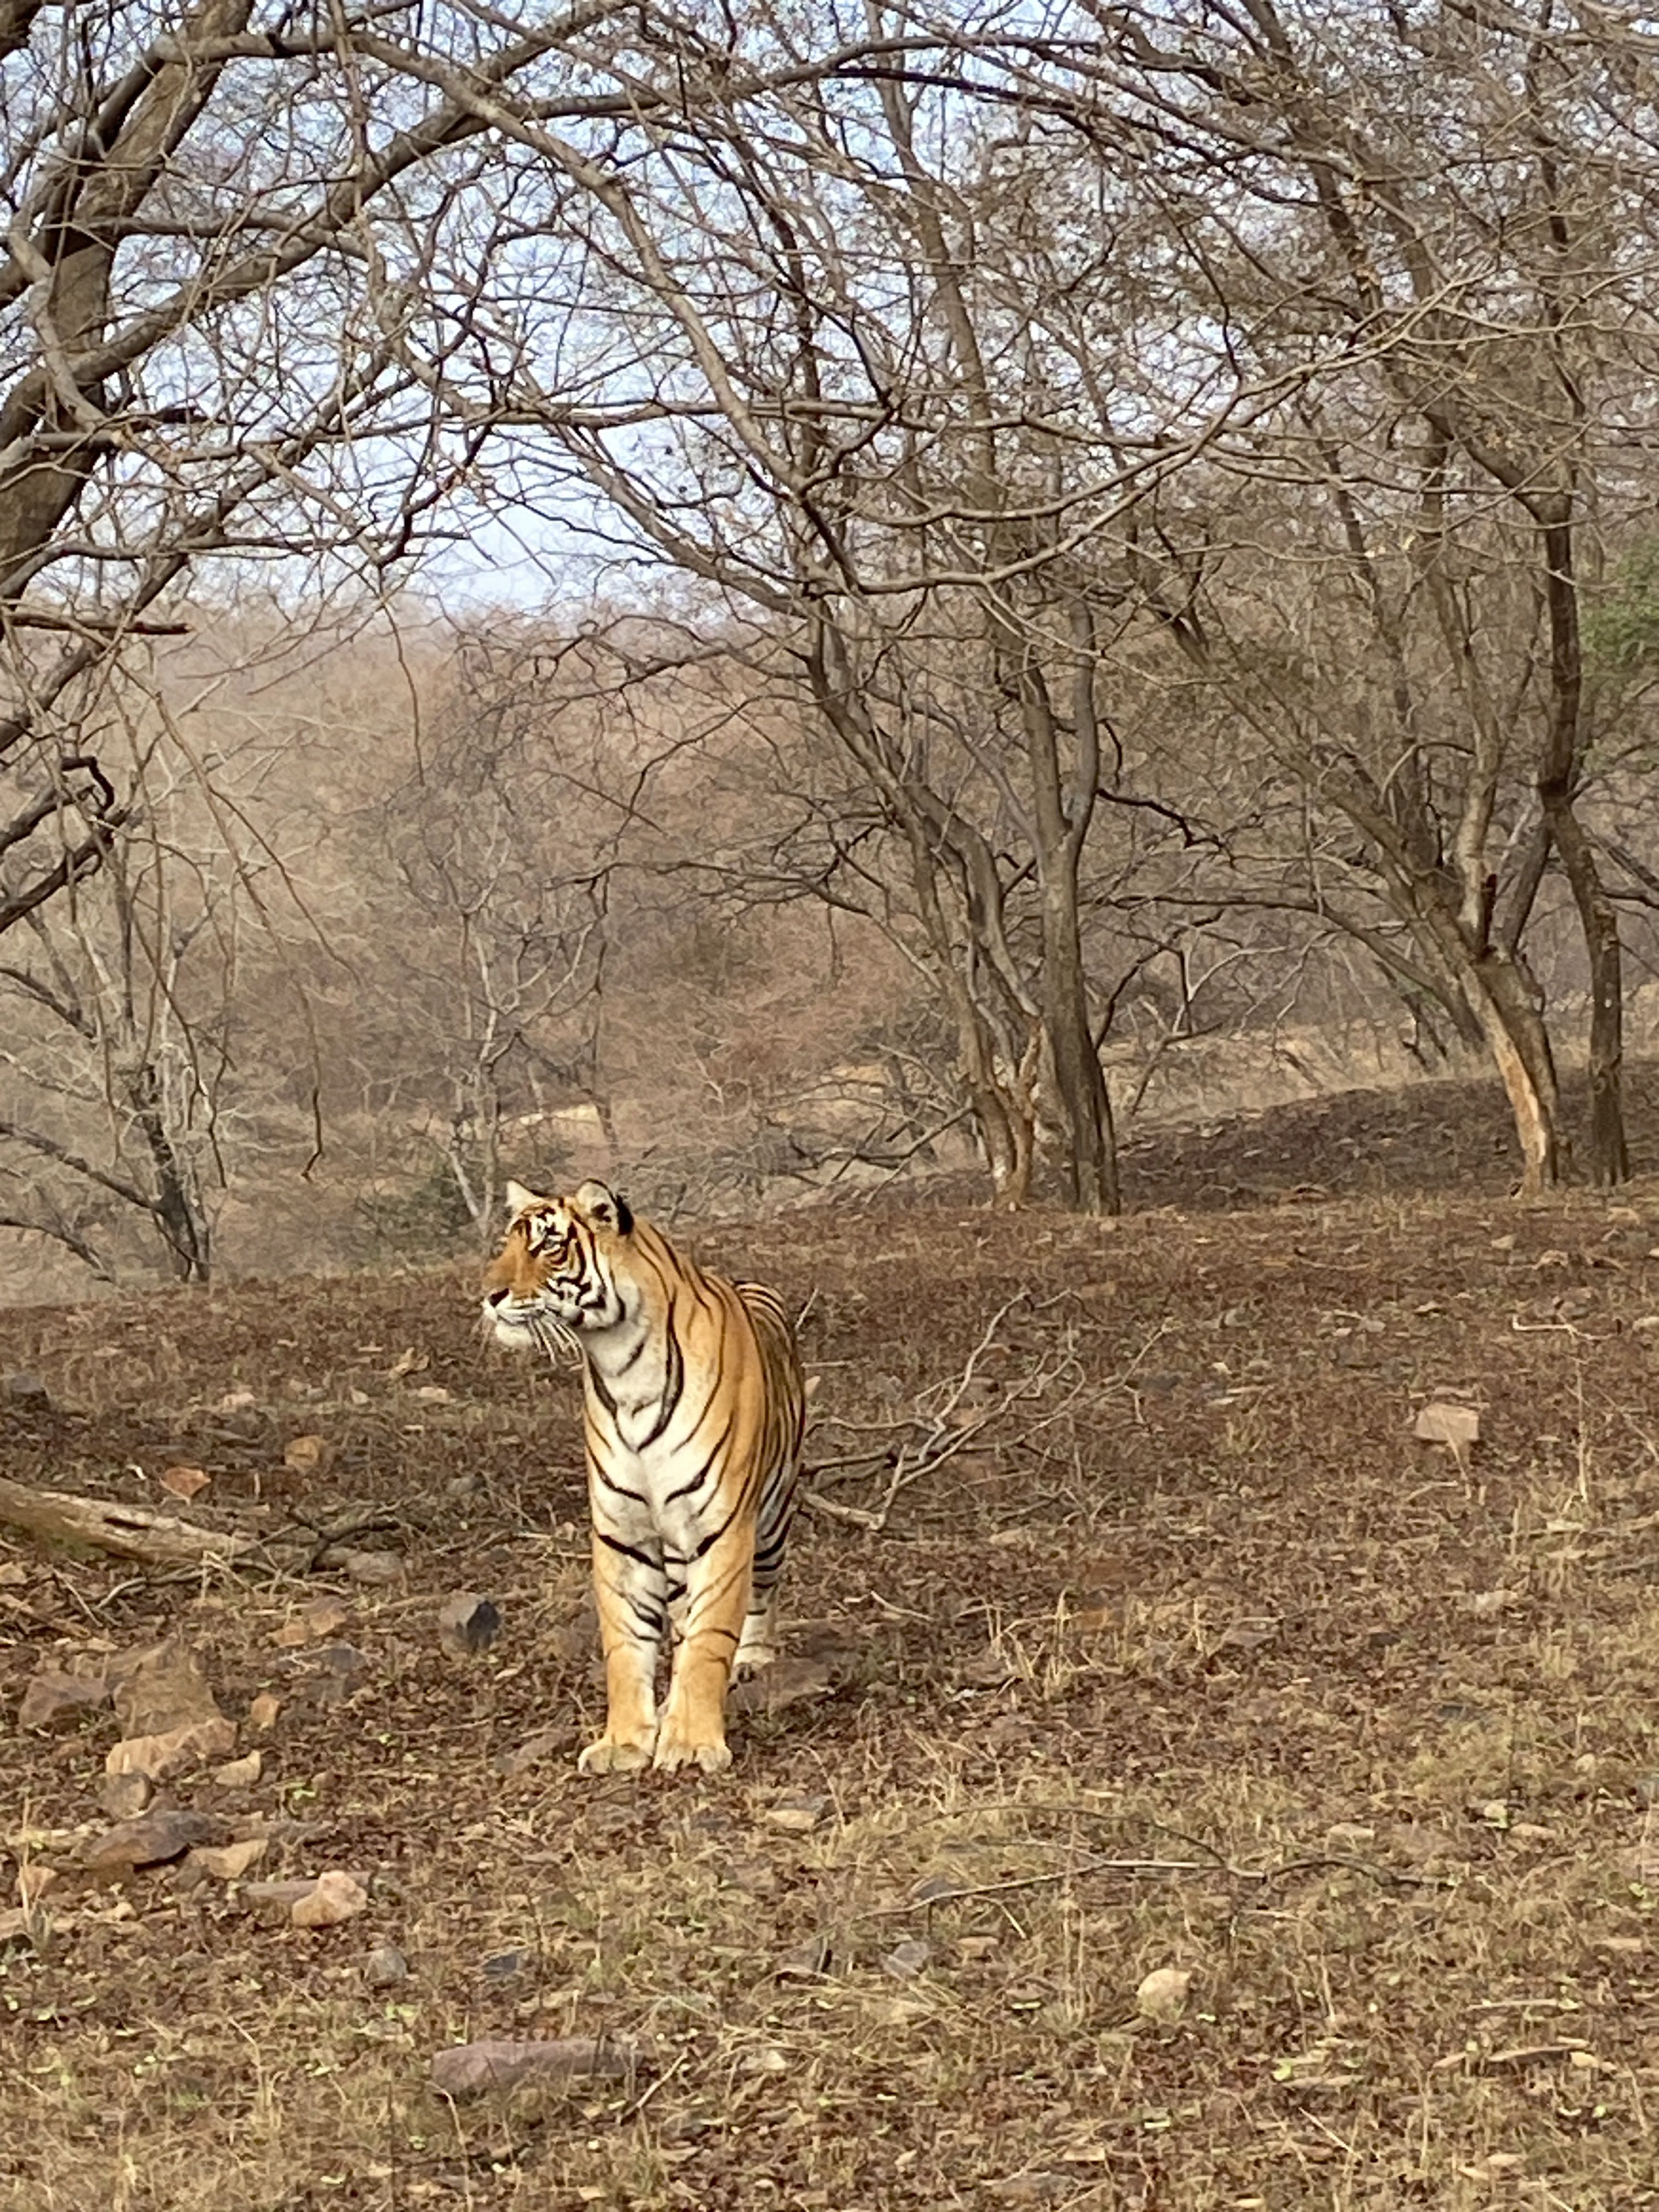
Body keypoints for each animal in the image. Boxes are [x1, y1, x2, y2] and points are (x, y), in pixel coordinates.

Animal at [482, 1178, 807, 1776]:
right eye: (507, 1244)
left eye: (548, 1247)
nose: (488, 1296)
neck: (619, 1363)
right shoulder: (623, 1532)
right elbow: (625, 1641)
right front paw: (625, 1742)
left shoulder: (722, 1527)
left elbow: (710, 1636)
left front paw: (693, 1742)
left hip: (772, 1521)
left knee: (757, 1597)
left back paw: (752, 1659)